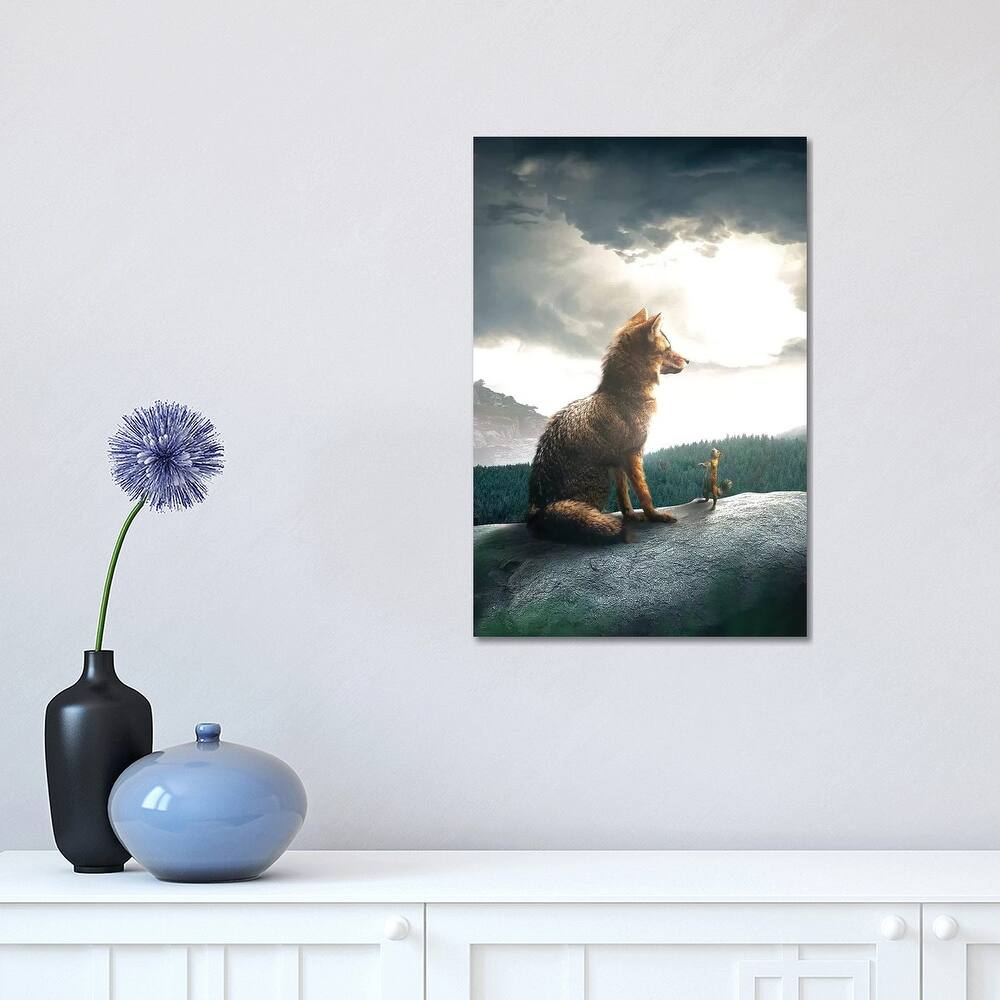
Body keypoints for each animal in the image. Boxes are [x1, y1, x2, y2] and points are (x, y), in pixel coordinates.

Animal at [526, 308, 688, 544]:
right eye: (668, 349)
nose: (689, 360)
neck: (624, 393)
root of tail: (539, 509)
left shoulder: (618, 461)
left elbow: (623, 495)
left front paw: (630, 516)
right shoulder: (632, 454)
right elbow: (643, 493)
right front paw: (655, 516)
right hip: (601, 481)